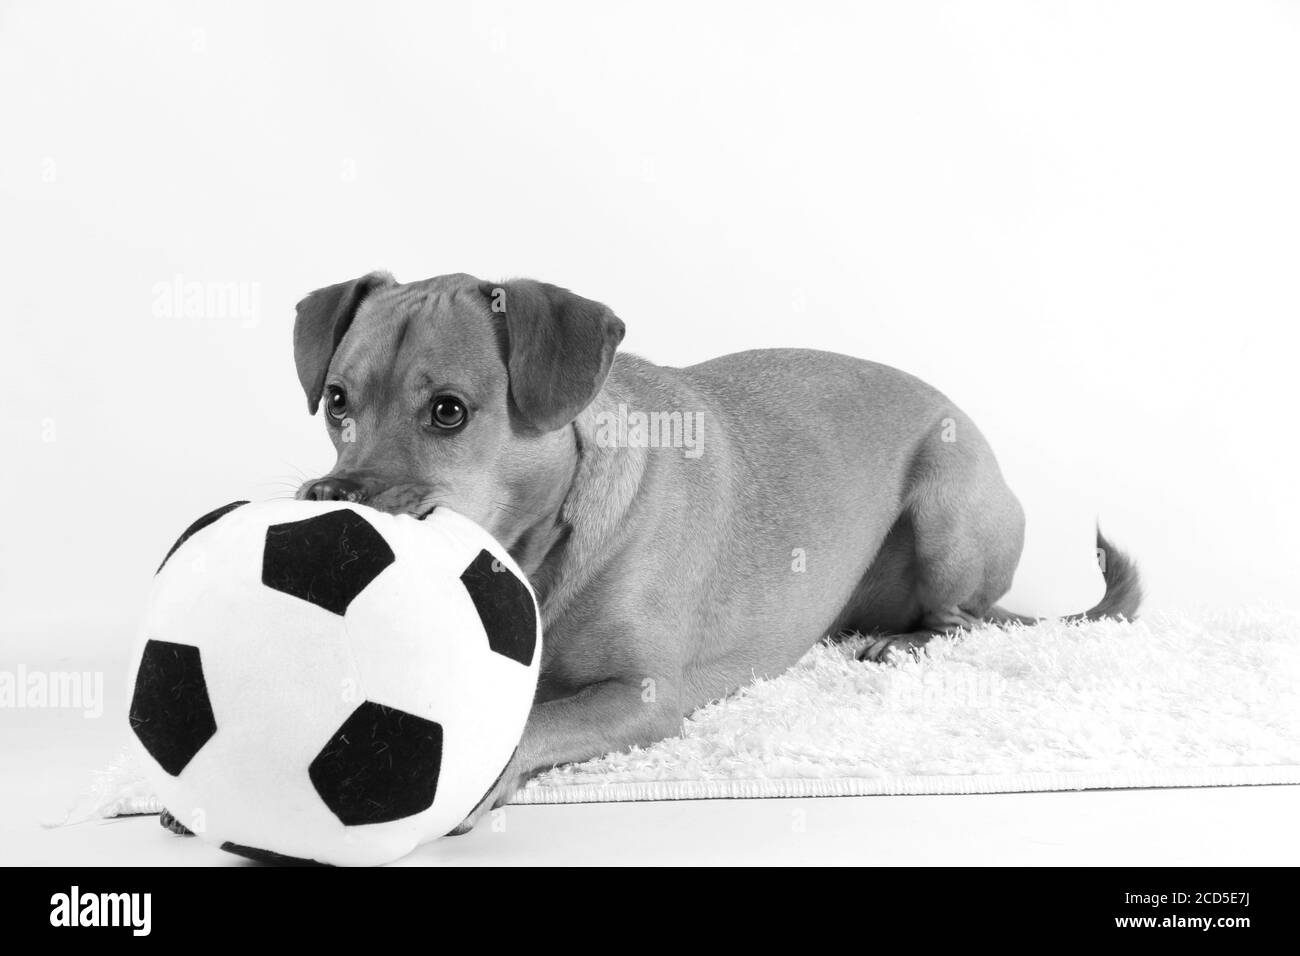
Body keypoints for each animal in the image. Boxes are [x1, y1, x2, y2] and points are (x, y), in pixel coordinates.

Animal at [162, 267, 1138, 837]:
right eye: (336, 399)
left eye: (448, 410)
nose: (338, 500)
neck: (536, 550)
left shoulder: (641, 696)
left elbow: (534, 721)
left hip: (947, 498)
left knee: (964, 621)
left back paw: (900, 644)